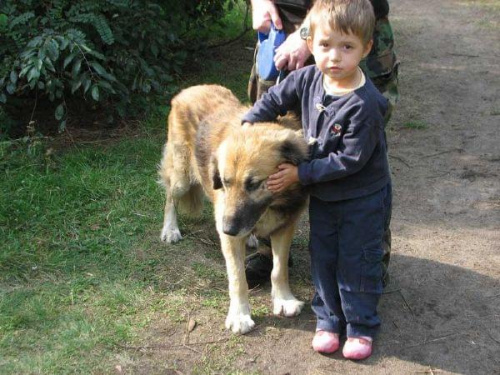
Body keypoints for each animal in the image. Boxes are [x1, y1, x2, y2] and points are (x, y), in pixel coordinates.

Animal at [160, 85, 308, 334]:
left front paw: (283, 299)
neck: (271, 204)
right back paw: (170, 229)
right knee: (170, 195)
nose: (227, 228)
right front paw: (239, 315)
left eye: (254, 184)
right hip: (182, 176)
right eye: (225, 182)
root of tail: (189, 89)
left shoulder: (285, 225)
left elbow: (279, 269)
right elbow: (238, 278)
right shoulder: (229, 235)